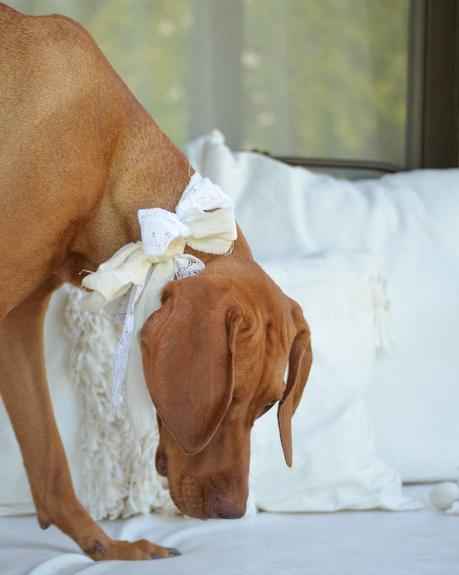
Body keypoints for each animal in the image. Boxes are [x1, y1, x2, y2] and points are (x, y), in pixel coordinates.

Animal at [0, 3, 312, 564]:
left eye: (267, 405)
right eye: (224, 400)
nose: (233, 513)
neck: (106, 160)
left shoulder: (17, 320)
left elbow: (49, 462)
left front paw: (105, 546)